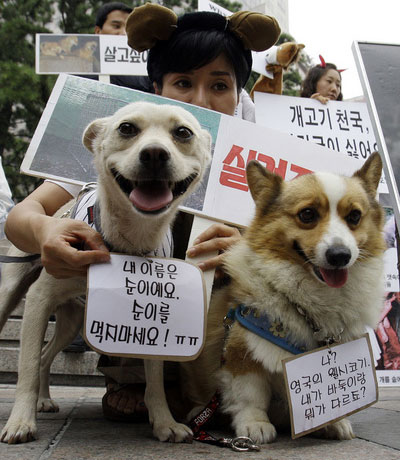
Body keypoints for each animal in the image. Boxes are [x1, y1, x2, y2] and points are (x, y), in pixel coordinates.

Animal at [0, 99, 211, 442]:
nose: (155, 154)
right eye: (126, 128)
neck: (129, 239)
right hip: (10, 297)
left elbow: (154, 378)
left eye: (183, 132)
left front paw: (164, 423)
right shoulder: (38, 300)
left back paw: (45, 400)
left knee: (46, 356)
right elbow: (27, 366)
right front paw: (20, 422)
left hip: (72, 322)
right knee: (37, 356)